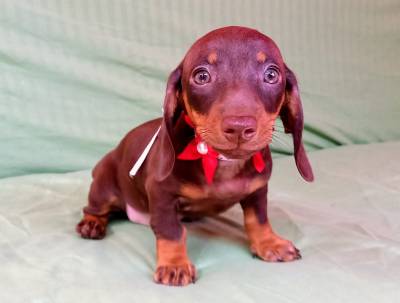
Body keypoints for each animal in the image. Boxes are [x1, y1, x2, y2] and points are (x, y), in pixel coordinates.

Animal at [75, 26, 312, 288]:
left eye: (271, 74)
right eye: (201, 77)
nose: (239, 127)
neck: (219, 160)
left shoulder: (258, 189)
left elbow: (258, 219)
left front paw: (269, 243)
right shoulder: (161, 193)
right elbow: (171, 231)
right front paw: (174, 264)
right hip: (104, 188)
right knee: (94, 208)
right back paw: (92, 223)